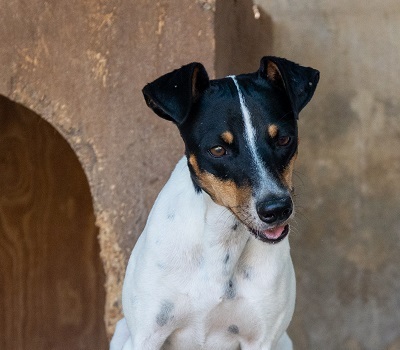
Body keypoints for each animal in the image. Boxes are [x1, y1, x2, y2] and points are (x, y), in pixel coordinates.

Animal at [111, 56, 320, 348]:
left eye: (283, 139)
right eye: (218, 150)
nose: (277, 209)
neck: (222, 243)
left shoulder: (262, 339)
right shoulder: (146, 336)